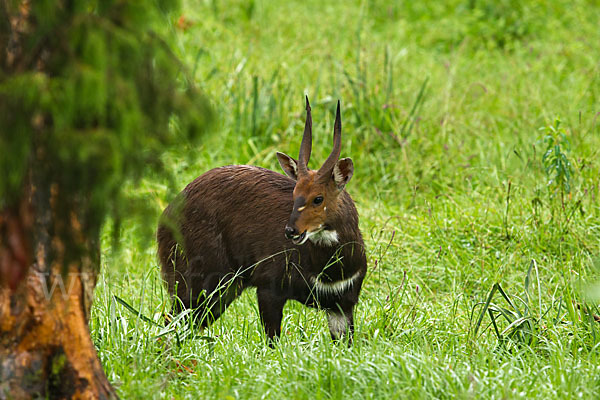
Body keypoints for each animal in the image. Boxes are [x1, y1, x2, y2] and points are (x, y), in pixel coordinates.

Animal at [156, 97, 366, 344]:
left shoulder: (342, 306)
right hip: (201, 284)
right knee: (169, 326)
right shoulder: (269, 289)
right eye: (294, 192)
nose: (291, 231)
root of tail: (167, 215)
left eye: (318, 198)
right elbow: (272, 341)